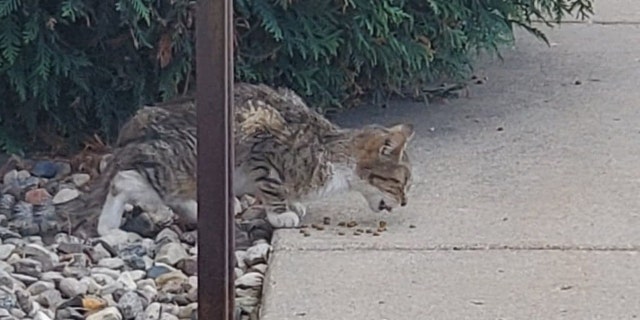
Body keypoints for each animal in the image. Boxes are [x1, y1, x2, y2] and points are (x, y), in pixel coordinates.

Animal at [66, 82, 416, 238]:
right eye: (401, 183)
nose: (404, 202)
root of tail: (132, 128)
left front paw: (293, 203)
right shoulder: (263, 138)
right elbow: (272, 185)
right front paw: (281, 214)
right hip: (179, 165)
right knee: (124, 180)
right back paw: (110, 228)